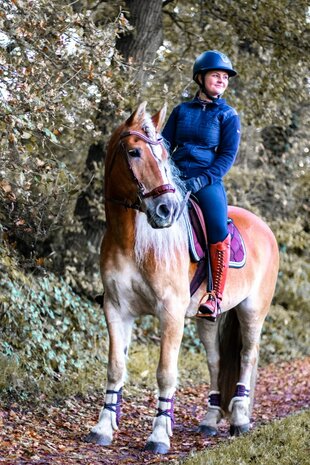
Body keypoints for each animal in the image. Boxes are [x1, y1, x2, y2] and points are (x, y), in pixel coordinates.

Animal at [86, 101, 280, 454]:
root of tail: (264, 228)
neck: (132, 240)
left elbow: (166, 372)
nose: (165, 209)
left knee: (248, 355)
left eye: (164, 155)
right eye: (134, 152)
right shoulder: (117, 310)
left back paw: (240, 419)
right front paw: (103, 427)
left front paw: (160, 435)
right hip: (208, 319)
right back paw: (210, 420)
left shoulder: (170, 313)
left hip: (252, 311)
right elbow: (115, 368)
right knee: (216, 361)